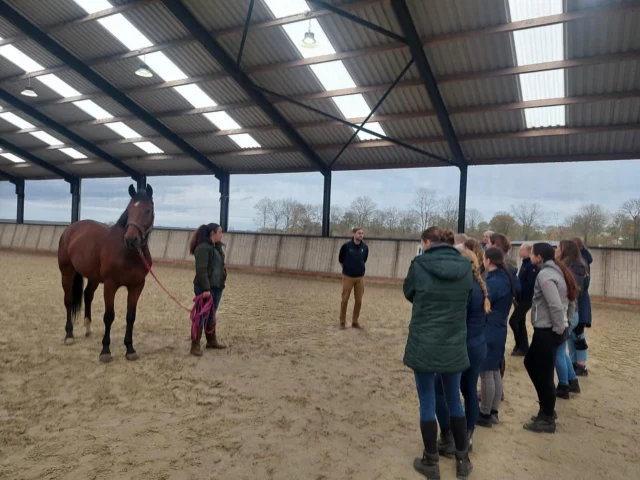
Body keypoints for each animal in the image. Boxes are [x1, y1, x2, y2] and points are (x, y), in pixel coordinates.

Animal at [57, 184, 154, 363]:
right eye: (129, 210)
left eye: (147, 210)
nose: (131, 239)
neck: (127, 253)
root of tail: (70, 229)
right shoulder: (110, 285)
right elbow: (109, 316)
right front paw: (105, 350)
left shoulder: (137, 286)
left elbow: (131, 316)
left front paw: (130, 348)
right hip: (67, 272)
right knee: (68, 301)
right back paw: (69, 335)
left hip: (93, 277)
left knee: (87, 295)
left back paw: (88, 328)